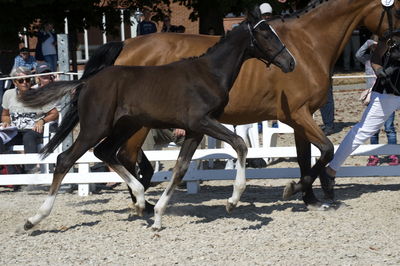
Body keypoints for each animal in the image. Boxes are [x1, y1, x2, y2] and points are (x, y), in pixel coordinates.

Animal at [19, 6, 294, 231]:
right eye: (266, 34)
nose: (290, 62)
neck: (209, 74)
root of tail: (86, 82)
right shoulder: (201, 122)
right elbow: (239, 144)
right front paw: (233, 201)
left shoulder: (195, 130)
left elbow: (181, 168)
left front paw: (159, 216)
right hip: (95, 127)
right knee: (66, 159)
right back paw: (34, 219)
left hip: (125, 125)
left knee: (105, 152)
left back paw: (142, 201)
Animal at [77, 0, 400, 209]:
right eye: (395, 9)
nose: (393, 49)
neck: (307, 45)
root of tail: (126, 44)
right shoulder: (299, 114)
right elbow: (326, 150)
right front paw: (296, 189)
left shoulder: (299, 118)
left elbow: (305, 156)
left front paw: (308, 196)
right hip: (138, 124)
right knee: (126, 156)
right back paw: (141, 203)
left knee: (125, 157)